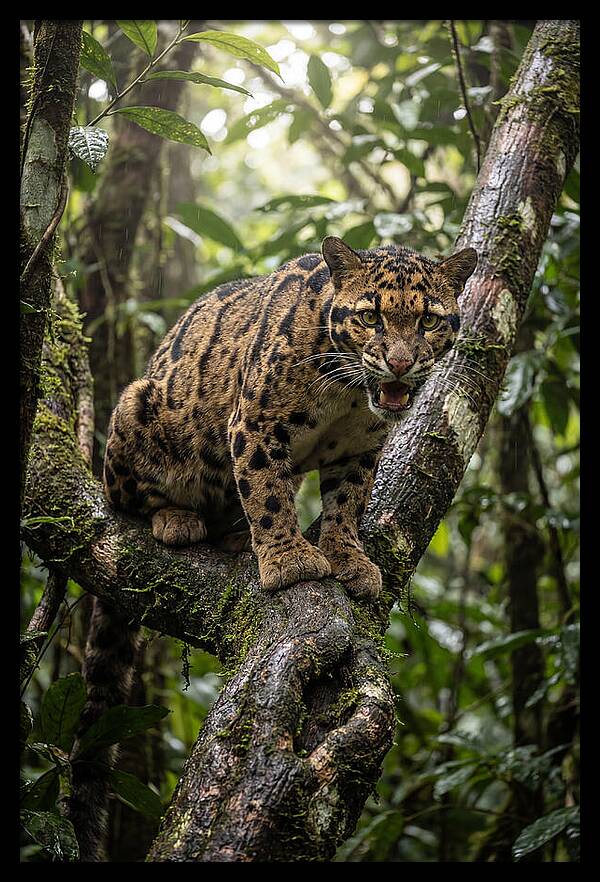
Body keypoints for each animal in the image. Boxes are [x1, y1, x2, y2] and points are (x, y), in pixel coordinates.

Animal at [103, 236, 477, 599]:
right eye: (370, 318)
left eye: (428, 321)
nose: (400, 364)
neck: (347, 393)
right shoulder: (256, 424)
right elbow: (267, 494)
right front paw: (289, 559)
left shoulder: (359, 448)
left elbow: (348, 503)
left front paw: (348, 557)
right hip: (136, 402)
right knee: (129, 500)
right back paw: (178, 518)